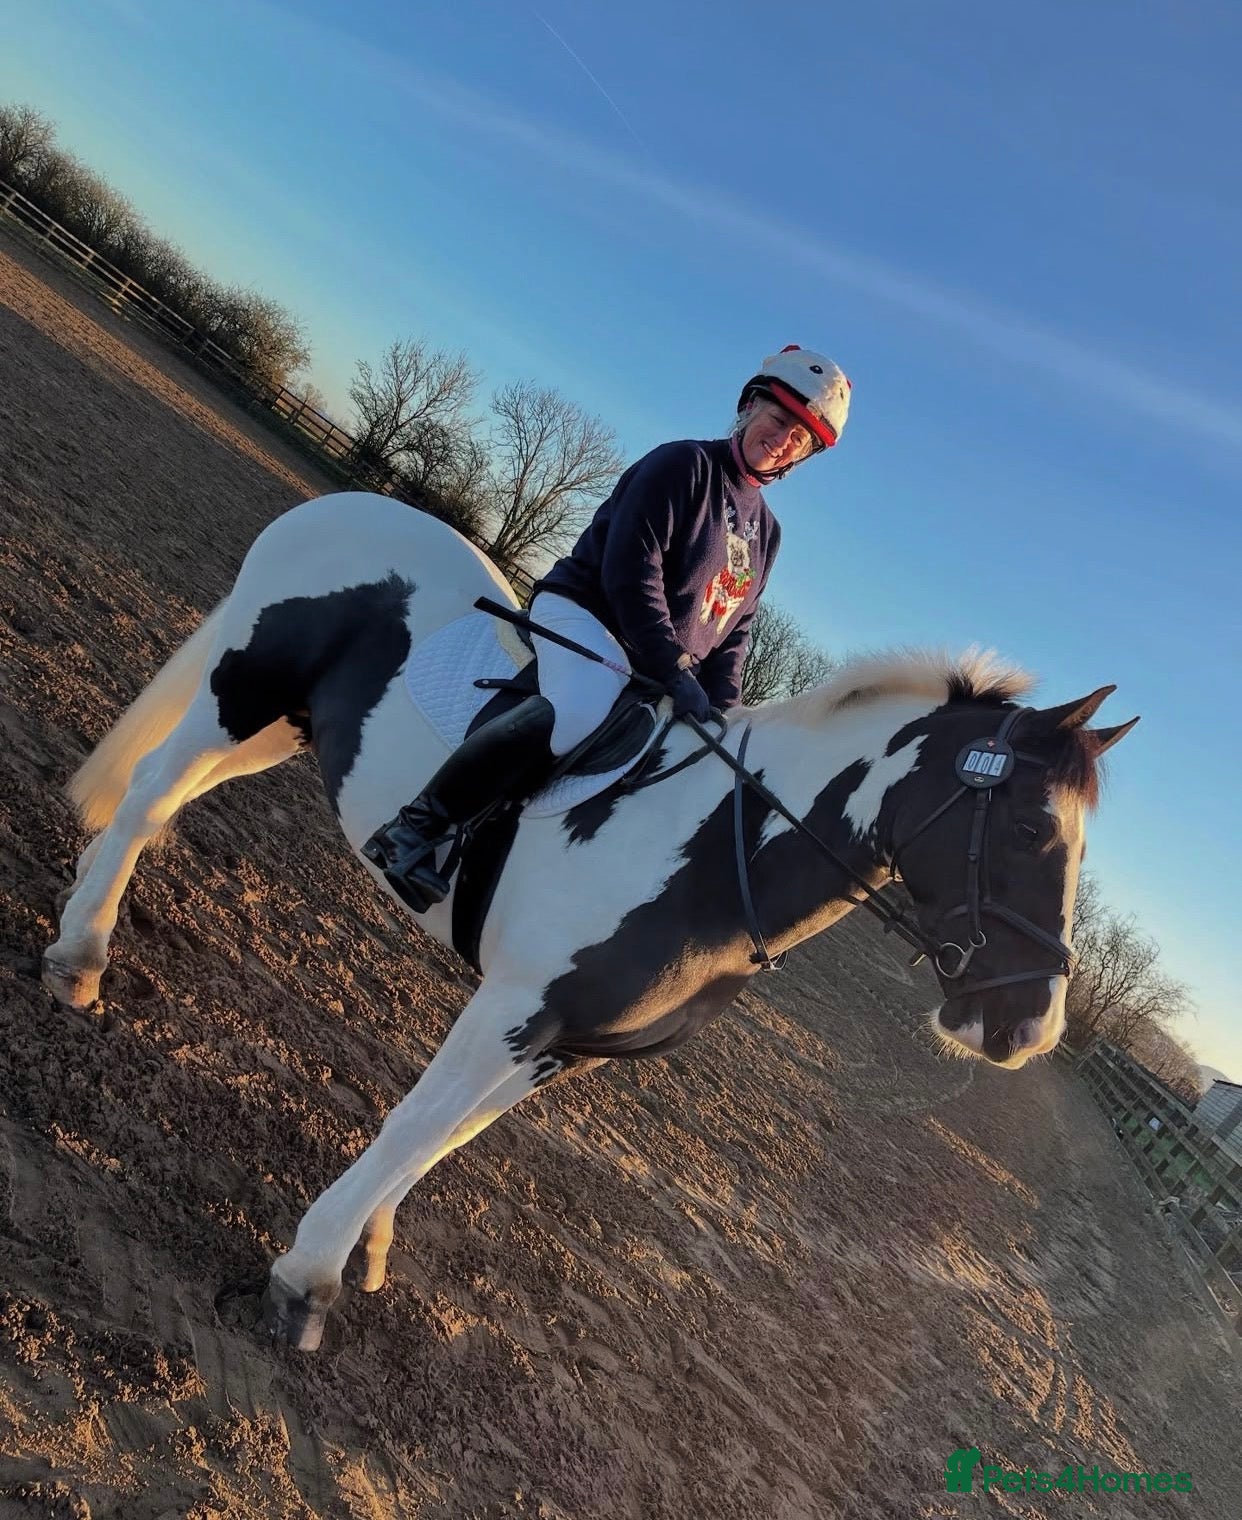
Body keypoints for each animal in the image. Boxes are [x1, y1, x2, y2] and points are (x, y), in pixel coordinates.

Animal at [42, 491, 1138, 1351]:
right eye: (1034, 827)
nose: (1027, 1027)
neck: (710, 848)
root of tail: (340, 505)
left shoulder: (565, 1046)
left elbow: (451, 1139)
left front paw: (372, 1245)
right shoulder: (515, 1006)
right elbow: (415, 1122)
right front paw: (306, 1279)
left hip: (286, 729)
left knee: (166, 802)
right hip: (240, 693)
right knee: (149, 795)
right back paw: (81, 956)